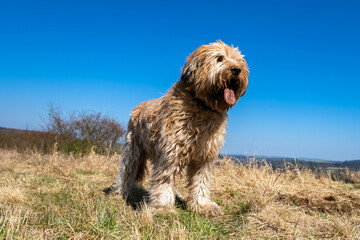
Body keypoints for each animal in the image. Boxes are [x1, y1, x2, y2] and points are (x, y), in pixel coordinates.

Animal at [111, 40, 249, 217]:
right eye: (219, 59)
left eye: (239, 61)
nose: (237, 70)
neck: (201, 105)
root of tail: (138, 106)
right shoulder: (171, 153)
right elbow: (164, 180)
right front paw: (163, 208)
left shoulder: (204, 156)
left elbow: (201, 181)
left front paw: (202, 205)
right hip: (133, 149)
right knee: (127, 170)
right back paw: (122, 192)